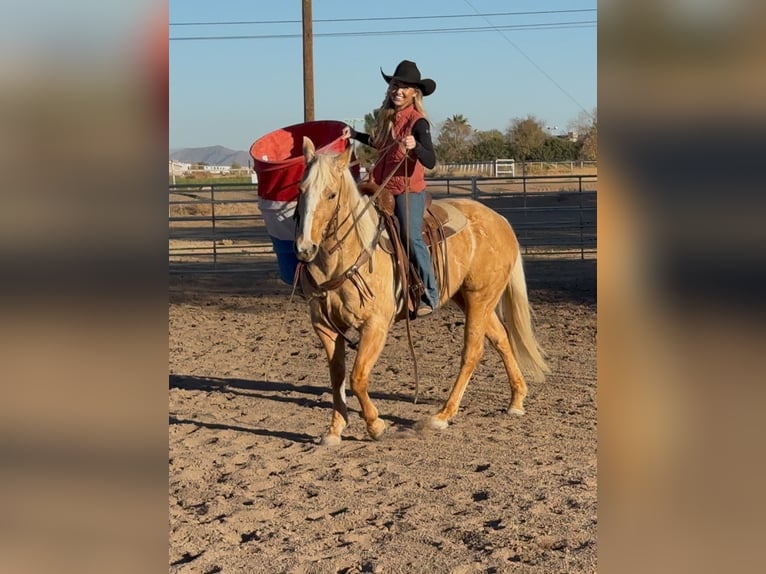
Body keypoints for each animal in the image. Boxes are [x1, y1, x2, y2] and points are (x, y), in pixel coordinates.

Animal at [292, 137, 548, 448]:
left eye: (330, 195)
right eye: (301, 190)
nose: (305, 248)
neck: (348, 254)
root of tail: (500, 220)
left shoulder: (375, 325)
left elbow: (357, 376)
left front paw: (376, 425)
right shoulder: (325, 327)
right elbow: (337, 376)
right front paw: (334, 430)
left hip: (480, 297)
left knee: (472, 352)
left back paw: (443, 414)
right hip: (471, 299)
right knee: (501, 339)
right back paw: (516, 400)